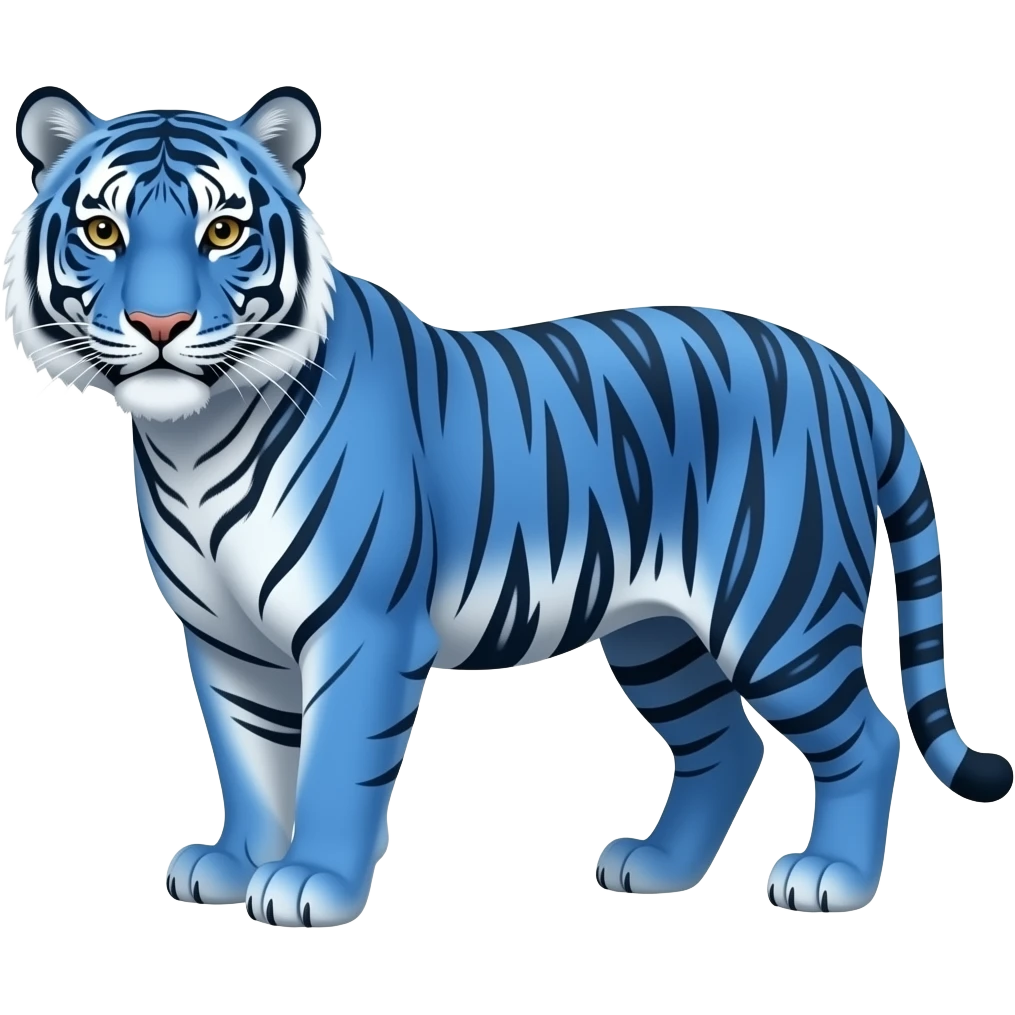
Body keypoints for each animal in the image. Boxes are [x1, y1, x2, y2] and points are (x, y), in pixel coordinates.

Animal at [4, 84, 1010, 929]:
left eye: (221, 231)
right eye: (102, 230)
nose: (160, 327)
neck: (192, 437)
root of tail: (846, 371)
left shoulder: (363, 627)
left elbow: (334, 762)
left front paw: (310, 883)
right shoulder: (226, 641)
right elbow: (249, 756)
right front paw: (233, 863)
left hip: (778, 612)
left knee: (866, 737)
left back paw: (830, 878)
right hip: (657, 634)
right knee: (724, 743)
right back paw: (656, 868)